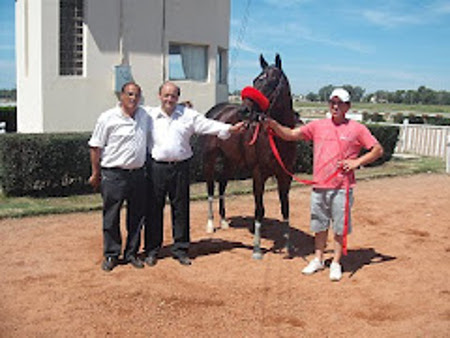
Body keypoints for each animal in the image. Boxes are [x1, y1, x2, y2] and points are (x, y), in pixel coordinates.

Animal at [202, 54, 298, 258]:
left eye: (271, 81)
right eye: (255, 80)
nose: (244, 111)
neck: (276, 137)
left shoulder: (285, 176)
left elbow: (285, 208)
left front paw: (288, 246)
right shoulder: (258, 175)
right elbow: (259, 210)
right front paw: (257, 248)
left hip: (230, 161)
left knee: (222, 186)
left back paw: (223, 221)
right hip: (209, 160)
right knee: (211, 188)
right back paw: (211, 224)